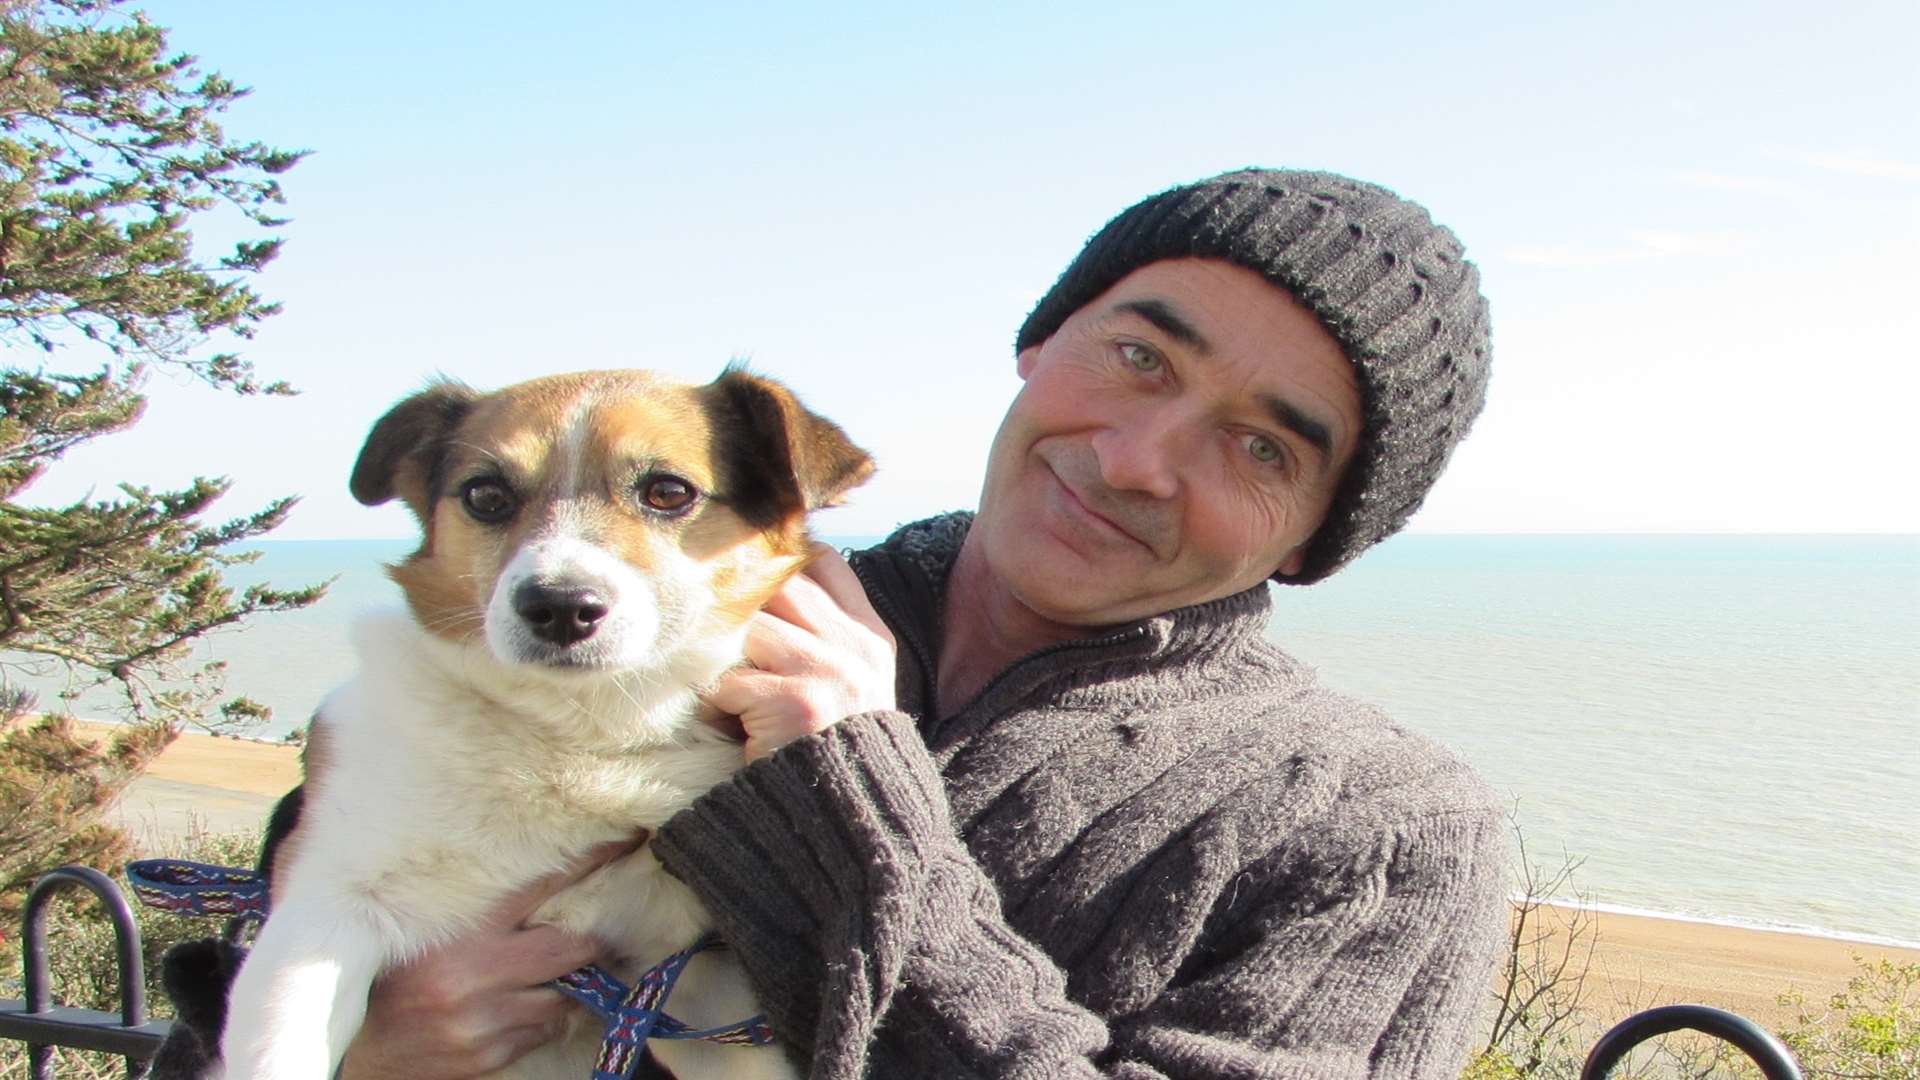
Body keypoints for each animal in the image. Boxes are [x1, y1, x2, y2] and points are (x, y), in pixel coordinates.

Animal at [217, 365, 871, 1068]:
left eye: (668, 492)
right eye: (486, 495)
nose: (559, 606)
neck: (580, 732)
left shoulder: (686, 978)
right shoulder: (325, 905)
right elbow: (280, 1047)